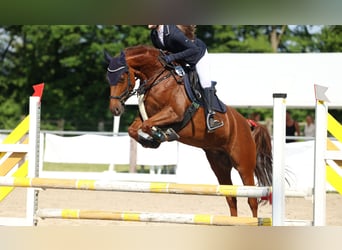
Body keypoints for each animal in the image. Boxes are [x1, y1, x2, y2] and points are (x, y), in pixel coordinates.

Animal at [105, 45, 272, 217]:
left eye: (121, 78)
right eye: (108, 79)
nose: (115, 110)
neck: (159, 79)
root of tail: (247, 123)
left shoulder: (174, 113)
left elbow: (147, 125)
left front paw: (160, 135)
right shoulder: (147, 115)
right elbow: (134, 129)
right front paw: (151, 140)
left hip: (244, 165)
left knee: (252, 199)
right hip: (220, 165)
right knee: (231, 197)